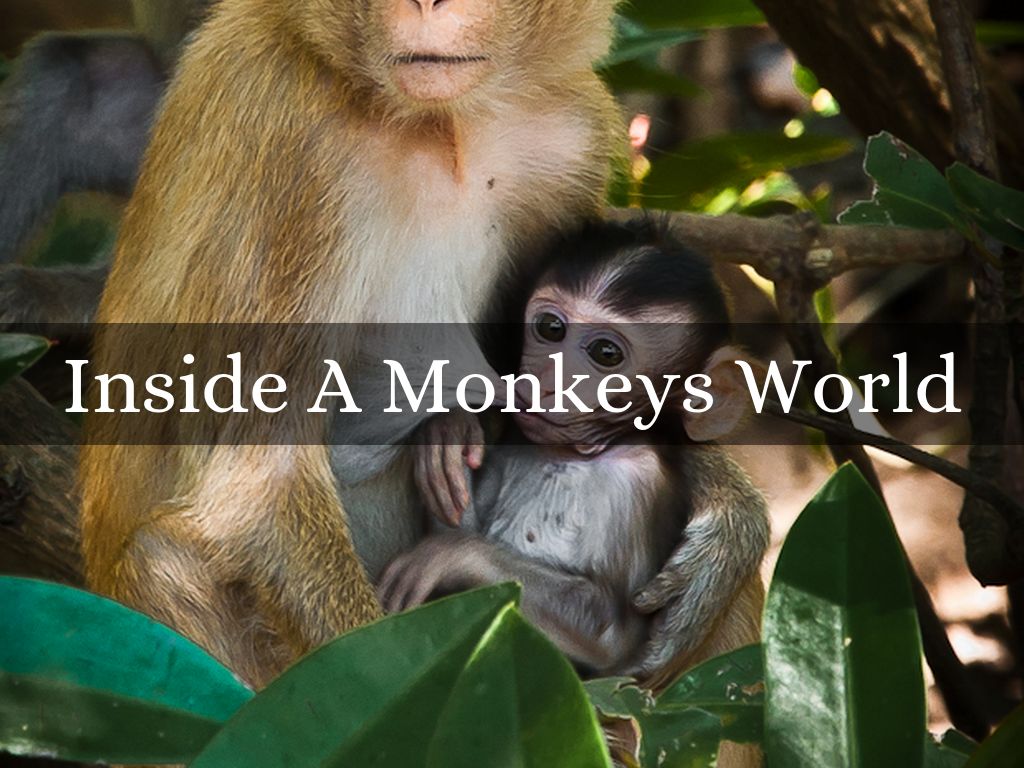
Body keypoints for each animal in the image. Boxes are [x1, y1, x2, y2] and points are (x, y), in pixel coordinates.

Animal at [378, 220, 770, 686]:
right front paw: (450, 434)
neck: (570, 454)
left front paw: (449, 554)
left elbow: (613, 636)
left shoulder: (632, 485)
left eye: (606, 353)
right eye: (550, 328)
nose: (545, 379)